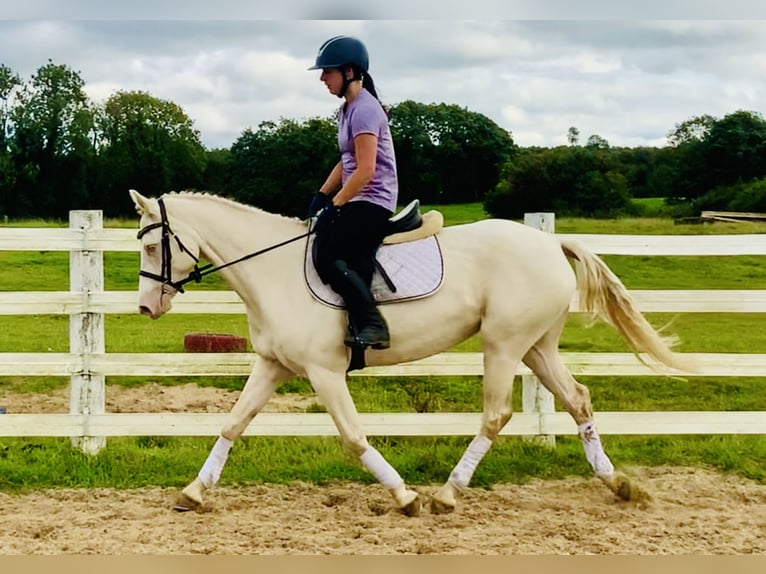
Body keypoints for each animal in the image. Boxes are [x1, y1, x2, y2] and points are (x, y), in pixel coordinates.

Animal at [127, 189, 688, 516]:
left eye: (153, 246)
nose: (145, 307)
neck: (273, 271)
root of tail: (551, 244)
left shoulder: (324, 373)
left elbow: (354, 438)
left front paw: (405, 495)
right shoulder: (273, 366)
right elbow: (232, 425)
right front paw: (194, 492)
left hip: (504, 344)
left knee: (496, 413)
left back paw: (446, 494)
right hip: (536, 348)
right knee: (578, 399)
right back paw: (618, 484)